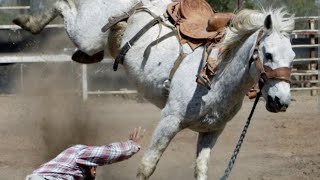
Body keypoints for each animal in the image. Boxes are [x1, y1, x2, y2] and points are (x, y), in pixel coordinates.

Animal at [14, 0, 296, 179]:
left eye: (293, 57)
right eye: (268, 54)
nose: (281, 101)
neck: (217, 75)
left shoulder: (212, 131)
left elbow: (200, 169)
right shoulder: (169, 121)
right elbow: (147, 166)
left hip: (94, 40)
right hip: (86, 32)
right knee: (64, 6)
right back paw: (27, 21)